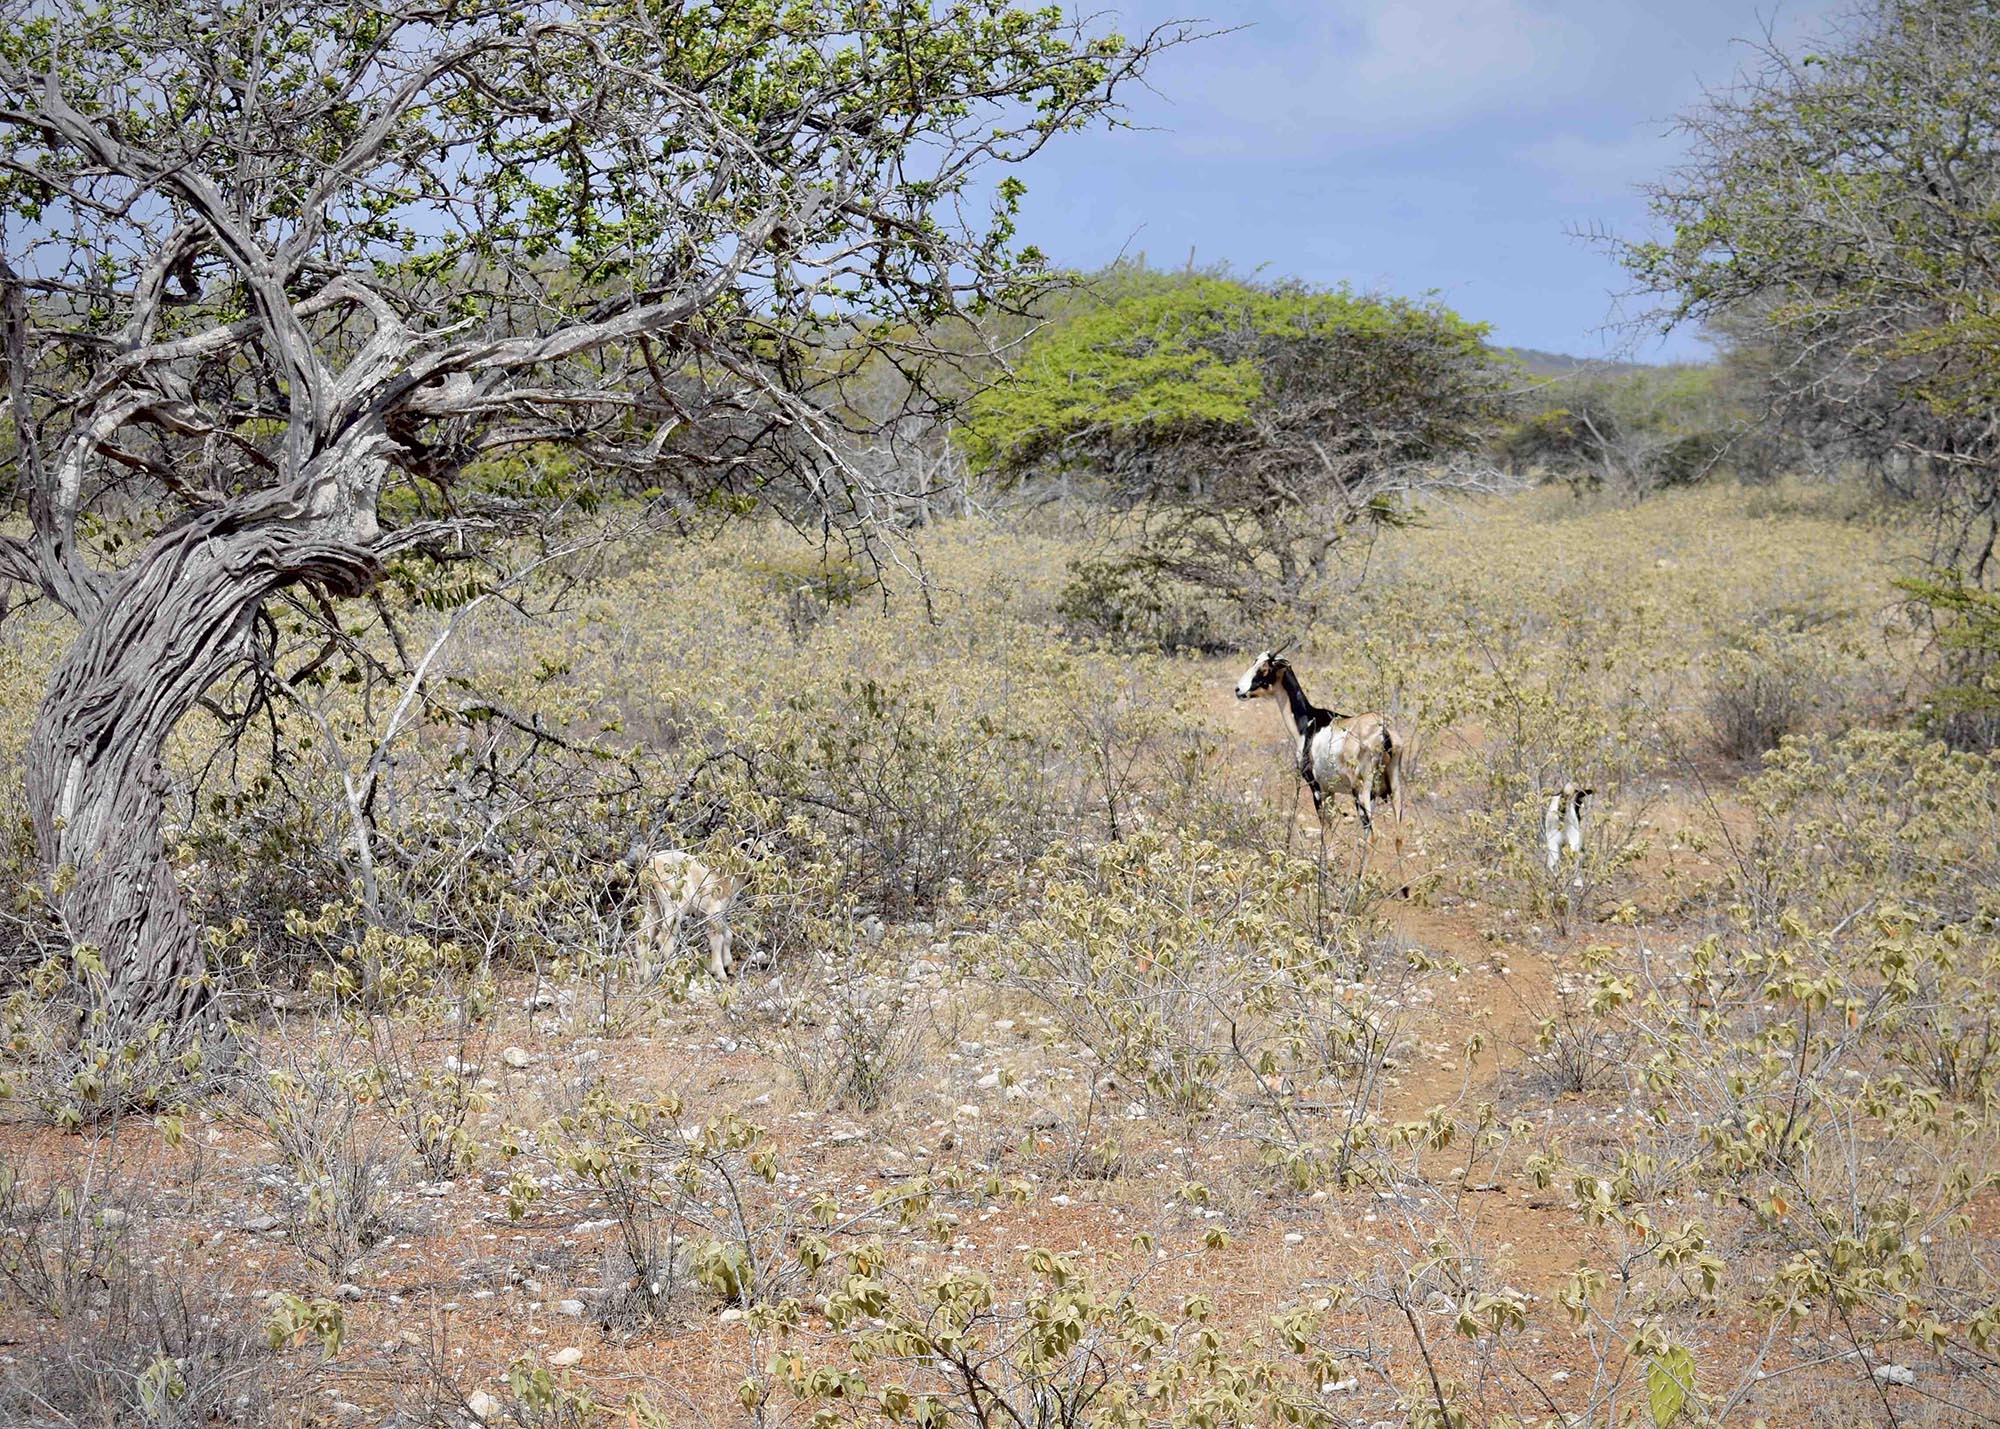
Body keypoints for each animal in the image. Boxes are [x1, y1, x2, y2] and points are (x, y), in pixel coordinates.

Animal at [636, 844, 748, 980]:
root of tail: (650, 866)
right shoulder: (713, 910)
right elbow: (717, 938)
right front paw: (720, 973)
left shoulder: (722, 912)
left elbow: (728, 935)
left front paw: (728, 963)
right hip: (676, 902)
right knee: (663, 936)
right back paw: (675, 970)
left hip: (652, 902)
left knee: (643, 933)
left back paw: (644, 974)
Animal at [1232, 648, 1408, 836]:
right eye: (1255, 661)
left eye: (1265, 668)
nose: (1238, 690)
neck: (1310, 721)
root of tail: (1384, 732)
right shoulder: (1330, 790)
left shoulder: (1317, 787)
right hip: (1394, 790)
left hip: (1362, 793)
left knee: (1372, 834)